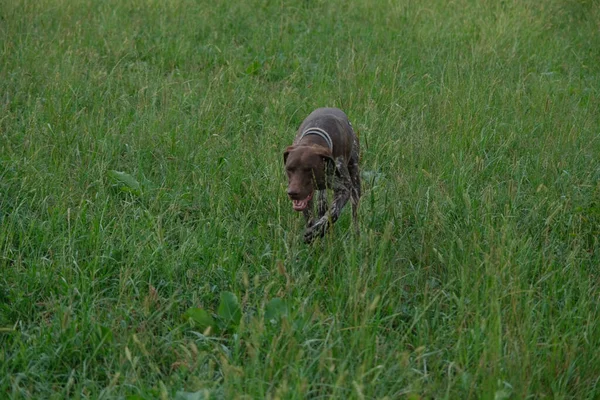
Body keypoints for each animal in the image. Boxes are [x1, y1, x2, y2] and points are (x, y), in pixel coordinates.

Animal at [282, 108, 360, 242]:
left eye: (309, 170)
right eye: (289, 169)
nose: (293, 193)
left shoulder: (344, 190)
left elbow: (332, 213)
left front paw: (317, 230)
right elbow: (310, 220)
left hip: (355, 182)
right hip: (321, 197)